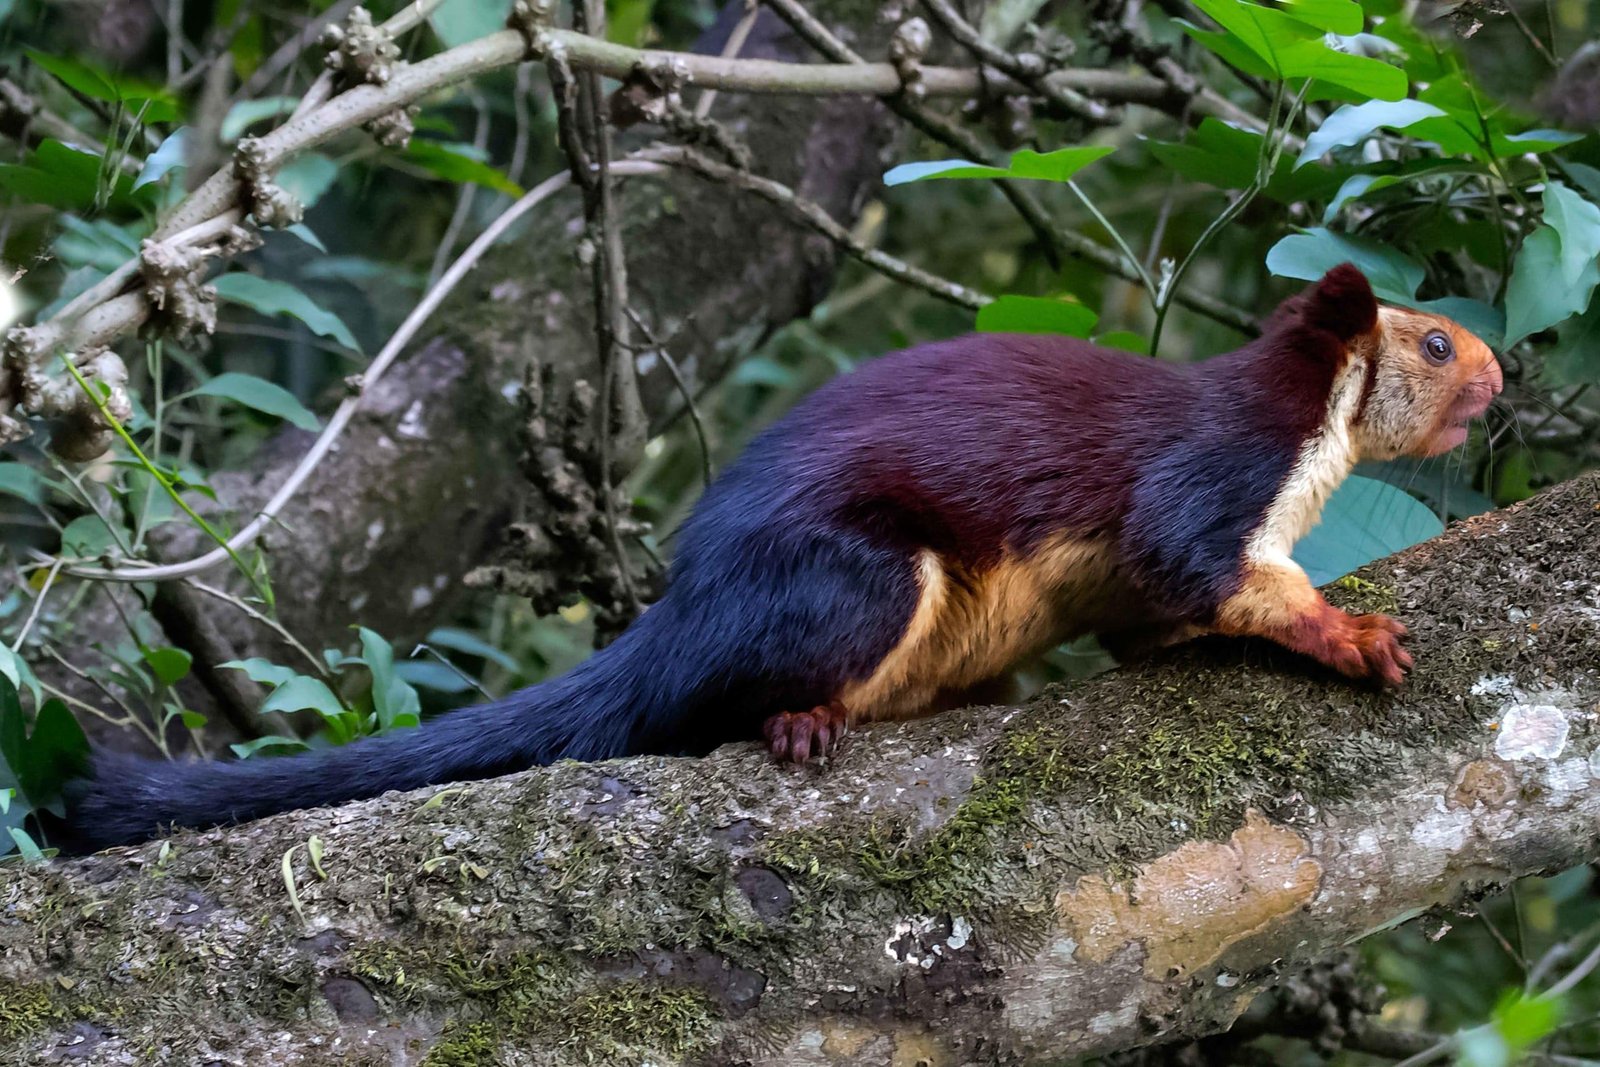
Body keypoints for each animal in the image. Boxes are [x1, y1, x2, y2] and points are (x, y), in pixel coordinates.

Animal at [58, 263, 1502, 851]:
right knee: (720, 695)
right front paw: (1353, 634)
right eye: (1433, 340)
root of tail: (683, 607)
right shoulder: (1209, 474)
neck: (1308, 449)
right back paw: (797, 718)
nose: (1504, 376)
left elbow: (1159, 620)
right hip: (855, 578)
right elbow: (1210, 567)